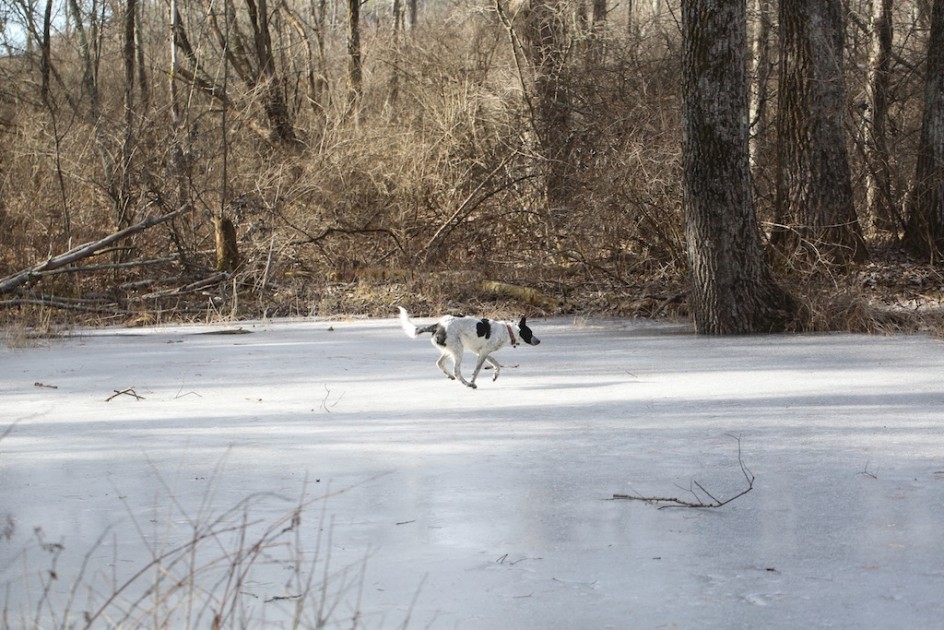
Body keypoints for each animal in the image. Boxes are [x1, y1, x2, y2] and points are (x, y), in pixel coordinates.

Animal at [396, 308, 544, 390]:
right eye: (530, 333)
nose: (539, 341)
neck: (508, 330)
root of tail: (438, 325)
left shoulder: (482, 352)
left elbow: (496, 365)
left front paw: (495, 376)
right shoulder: (483, 353)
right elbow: (477, 370)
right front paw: (473, 382)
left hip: (451, 350)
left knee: (439, 363)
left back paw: (449, 376)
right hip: (458, 351)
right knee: (456, 371)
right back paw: (467, 384)